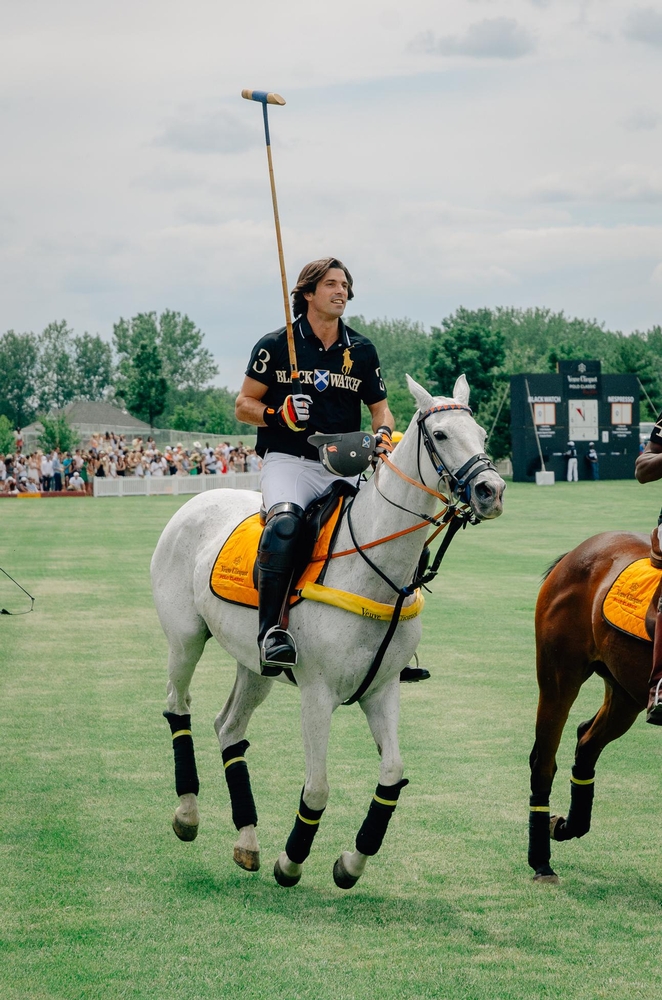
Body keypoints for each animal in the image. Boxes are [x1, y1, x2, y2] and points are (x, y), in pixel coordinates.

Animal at [153, 376, 506, 892]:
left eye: (480, 434)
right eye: (440, 434)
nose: (490, 490)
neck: (376, 571)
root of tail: (194, 501)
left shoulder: (381, 689)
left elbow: (392, 774)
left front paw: (351, 862)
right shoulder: (317, 694)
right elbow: (317, 788)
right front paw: (291, 861)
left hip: (255, 664)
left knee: (229, 727)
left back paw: (248, 840)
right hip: (184, 639)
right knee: (178, 706)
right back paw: (187, 814)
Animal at [528, 532, 660, 884]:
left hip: (625, 692)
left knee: (586, 741)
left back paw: (565, 826)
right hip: (559, 678)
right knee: (544, 762)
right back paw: (541, 861)